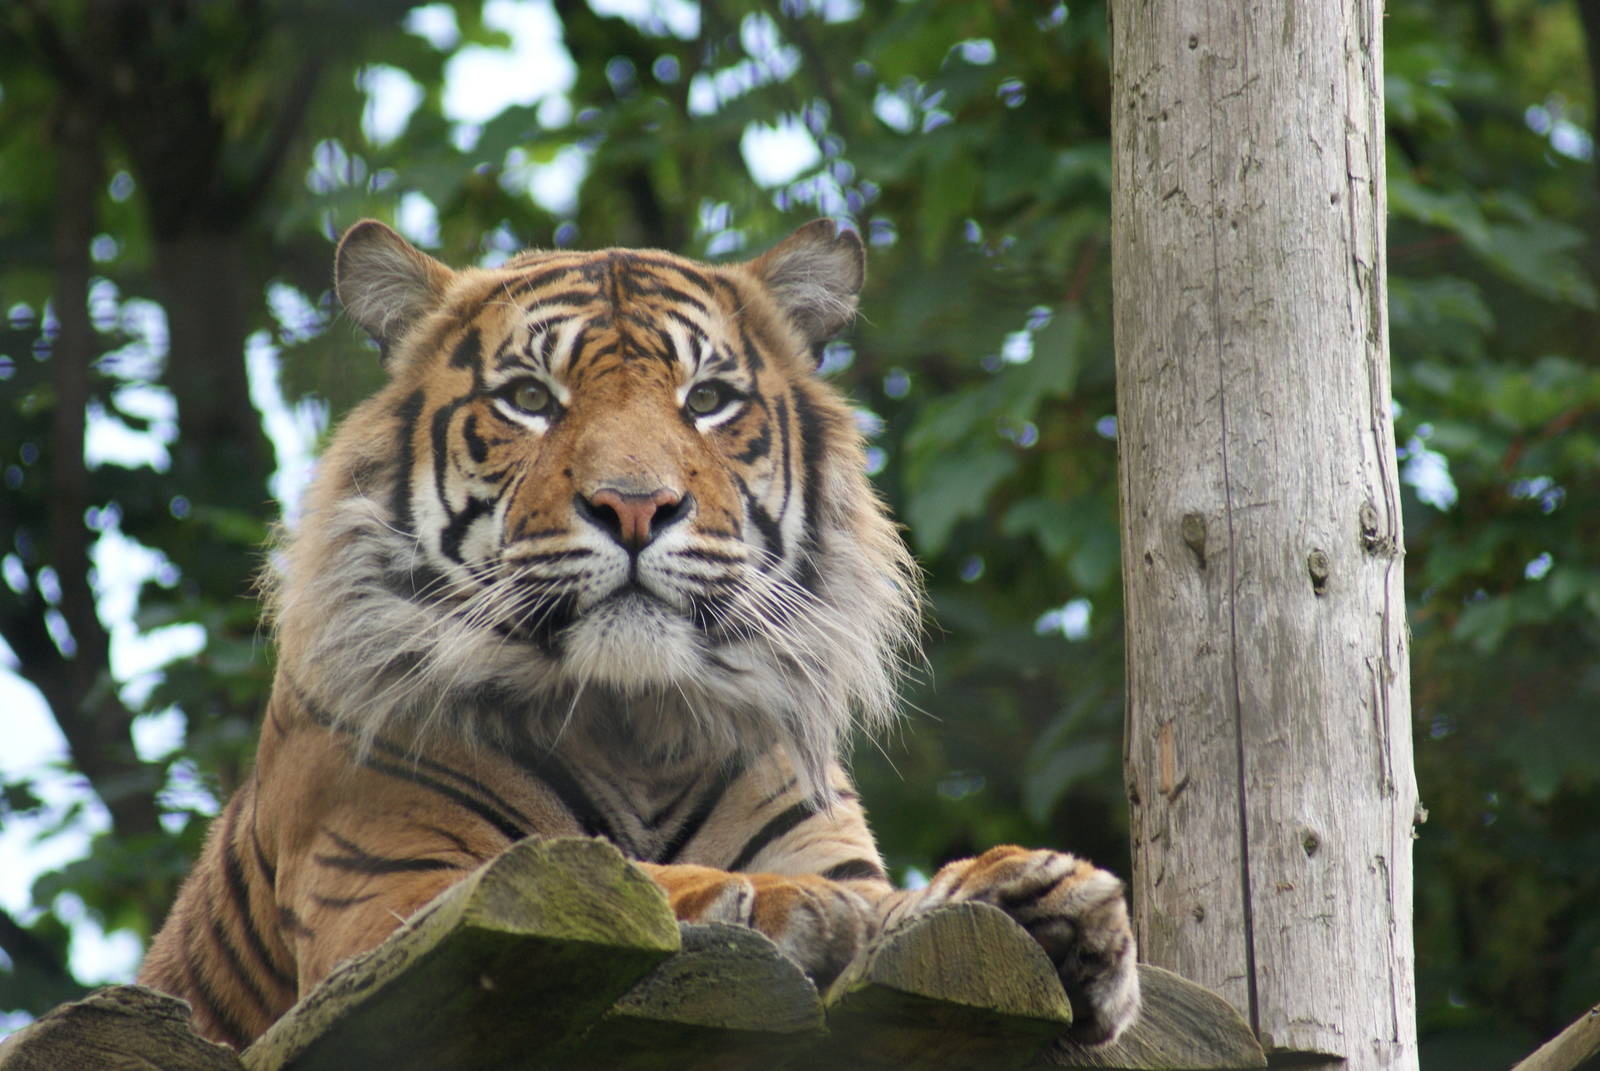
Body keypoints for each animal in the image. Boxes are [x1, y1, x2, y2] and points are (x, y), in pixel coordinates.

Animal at [136, 218, 1140, 1049]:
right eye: (529, 397)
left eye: (708, 399)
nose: (633, 505)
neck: (638, 725)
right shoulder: (391, 899)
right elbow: (614, 872)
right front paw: (795, 908)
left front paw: (1042, 890)